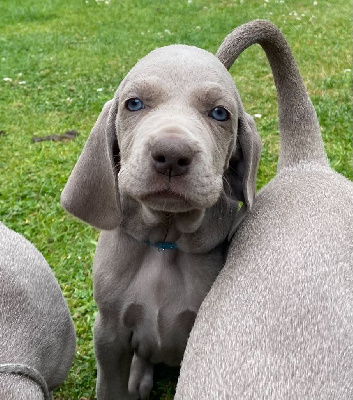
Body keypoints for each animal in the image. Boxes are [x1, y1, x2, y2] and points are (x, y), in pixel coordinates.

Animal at [59, 43, 260, 396]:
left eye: (220, 113)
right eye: (134, 103)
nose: (171, 155)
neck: (164, 243)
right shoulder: (108, 335)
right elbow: (110, 388)